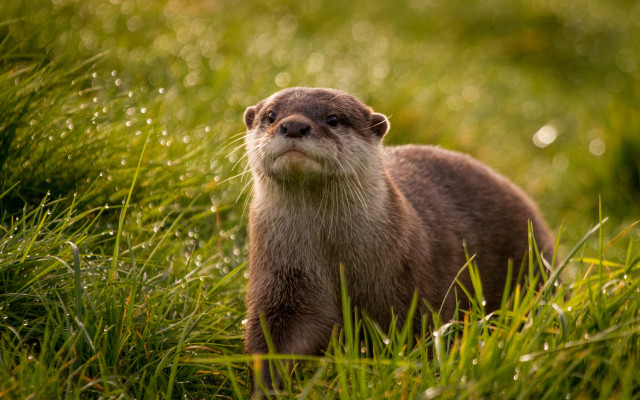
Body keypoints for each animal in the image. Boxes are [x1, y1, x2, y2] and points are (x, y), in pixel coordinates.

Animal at [242, 87, 554, 393]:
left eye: (333, 119)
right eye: (271, 116)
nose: (294, 125)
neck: (334, 258)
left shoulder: (409, 289)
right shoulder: (281, 283)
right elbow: (273, 340)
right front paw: (266, 388)